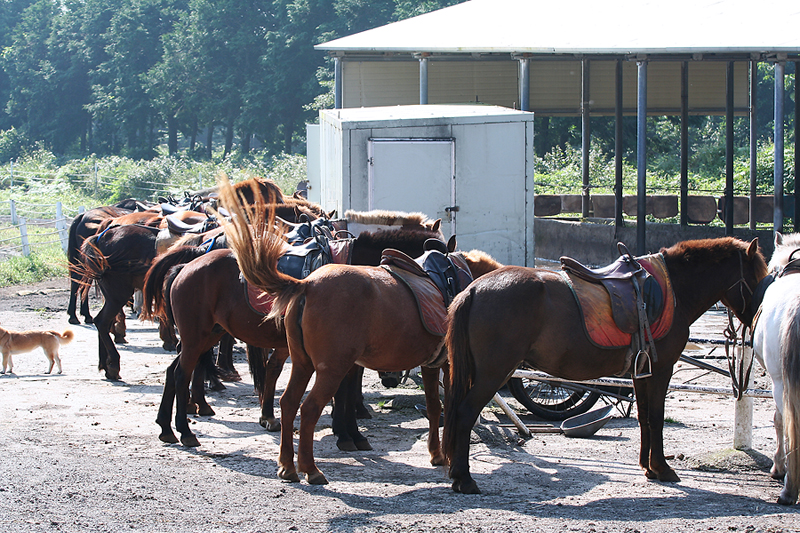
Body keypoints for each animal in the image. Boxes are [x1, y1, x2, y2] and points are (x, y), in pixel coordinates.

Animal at [219, 181, 504, 484]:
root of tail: (305, 285)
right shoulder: (446, 364)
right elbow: (445, 406)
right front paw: (349, 434)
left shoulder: (428, 363)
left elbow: (433, 407)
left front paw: (435, 454)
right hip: (328, 366)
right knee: (307, 407)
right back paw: (310, 468)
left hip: (302, 362)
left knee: (287, 399)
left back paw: (286, 462)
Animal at [444, 235, 768, 492]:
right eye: (756, 277)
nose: (757, 318)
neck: (673, 289)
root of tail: (473, 289)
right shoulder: (662, 370)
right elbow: (657, 417)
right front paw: (663, 468)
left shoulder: (642, 371)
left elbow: (645, 416)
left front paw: (648, 467)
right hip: (493, 373)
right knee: (465, 412)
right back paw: (464, 479)